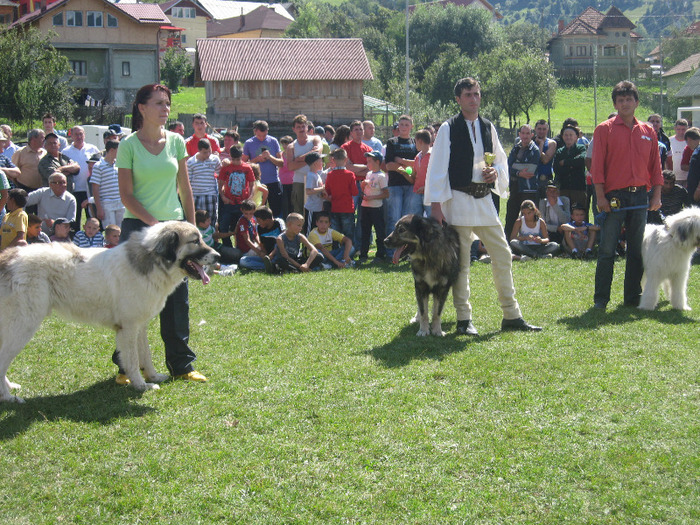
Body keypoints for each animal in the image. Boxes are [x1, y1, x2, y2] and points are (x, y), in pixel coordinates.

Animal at [0, 221, 219, 402]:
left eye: (201, 238)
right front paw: (141, 385)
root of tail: (7, 258)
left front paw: (153, 376)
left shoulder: (140, 326)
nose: (218, 256)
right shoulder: (128, 328)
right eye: (195, 241)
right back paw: (9, 397)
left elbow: (145, 355)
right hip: (24, 325)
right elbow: (132, 360)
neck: (152, 262)